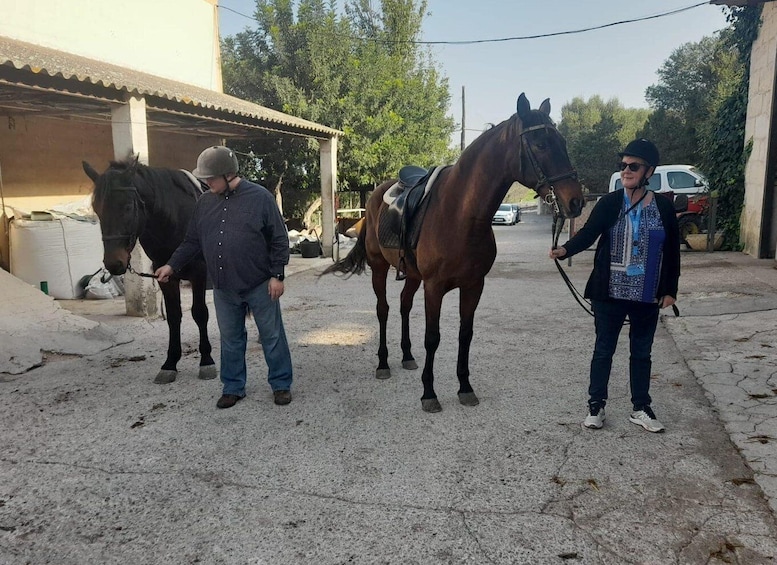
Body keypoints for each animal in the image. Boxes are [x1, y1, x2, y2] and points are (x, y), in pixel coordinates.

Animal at [82, 158, 217, 384]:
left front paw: (206, 360)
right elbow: (174, 316)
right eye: (97, 209)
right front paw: (170, 363)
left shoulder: (199, 273)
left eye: (128, 206)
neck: (175, 219)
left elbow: (200, 313)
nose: (114, 263)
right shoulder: (165, 276)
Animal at [322, 91, 584, 410]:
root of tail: (375, 196)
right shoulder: (434, 287)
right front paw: (429, 393)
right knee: (383, 309)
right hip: (379, 267)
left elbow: (465, 334)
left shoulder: (473, 285)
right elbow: (432, 337)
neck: (461, 215)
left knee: (404, 305)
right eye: (541, 144)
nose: (575, 201)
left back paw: (407, 356)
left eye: (562, 142)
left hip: (412, 275)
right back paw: (383, 364)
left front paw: (465, 387)